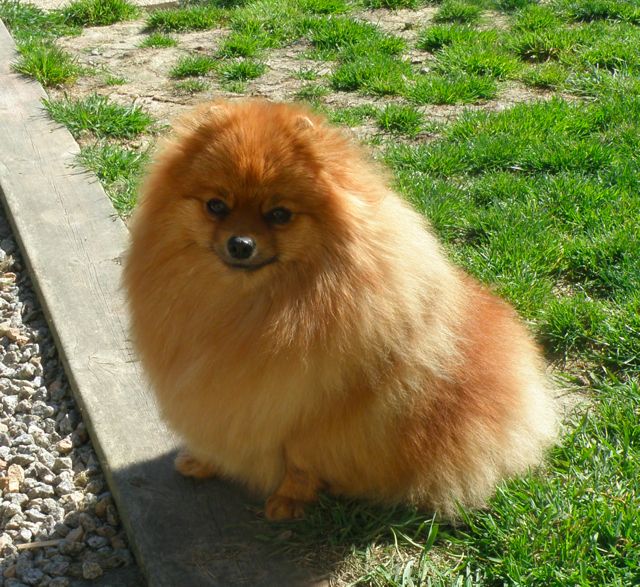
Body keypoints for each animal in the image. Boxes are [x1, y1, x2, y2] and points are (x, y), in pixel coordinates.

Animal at [124, 99, 556, 520]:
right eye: (216, 206)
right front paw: (205, 462)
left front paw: (289, 501)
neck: (250, 308)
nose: (240, 244)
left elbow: (299, 462)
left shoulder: (313, 413)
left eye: (279, 214)